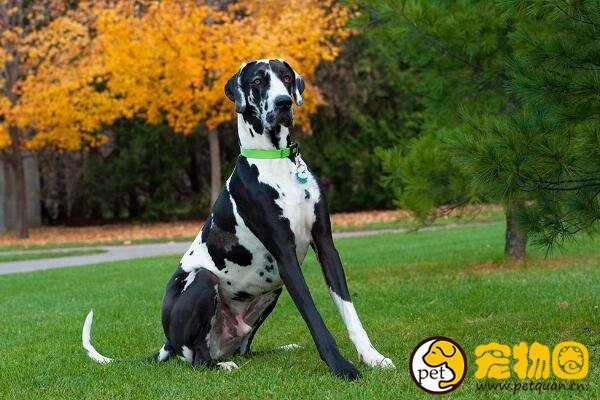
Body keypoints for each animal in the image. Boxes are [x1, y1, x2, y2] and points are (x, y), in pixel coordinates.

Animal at [82, 57, 396, 380]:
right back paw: (219, 364)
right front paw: (341, 367)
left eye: (286, 77)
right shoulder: (285, 258)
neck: (277, 161)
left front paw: (372, 357)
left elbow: (349, 311)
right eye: (257, 81)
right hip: (203, 281)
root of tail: (168, 342)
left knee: (243, 349)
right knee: (198, 358)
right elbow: (315, 318)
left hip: (272, 291)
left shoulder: (326, 247)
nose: (283, 103)